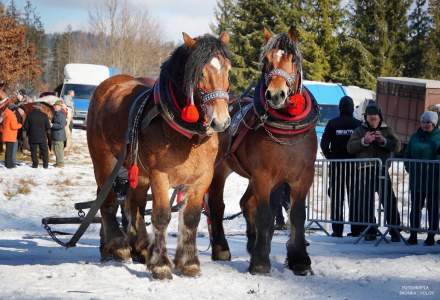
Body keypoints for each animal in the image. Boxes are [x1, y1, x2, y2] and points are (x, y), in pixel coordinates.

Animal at [88, 32, 234, 278]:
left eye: (228, 69)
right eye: (200, 73)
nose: (221, 121)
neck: (188, 137)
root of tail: (109, 84)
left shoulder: (202, 178)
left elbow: (191, 218)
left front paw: (188, 262)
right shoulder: (159, 175)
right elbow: (162, 216)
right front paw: (161, 264)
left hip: (137, 171)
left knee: (133, 204)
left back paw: (139, 247)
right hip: (104, 160)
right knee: (108, 201)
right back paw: (118, 245)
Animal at [208, 27, 318, 276]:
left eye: (292, 60)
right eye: (267, 61)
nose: (275, 94)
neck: (289, 132)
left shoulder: (302, 177)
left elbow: (297, 215)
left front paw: (300, 260)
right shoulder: (264, 175)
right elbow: (266, 214)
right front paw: (260, 262)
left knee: (246, 203)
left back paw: (252, 242)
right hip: (221, 169)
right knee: (218, 206)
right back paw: (221, 249)